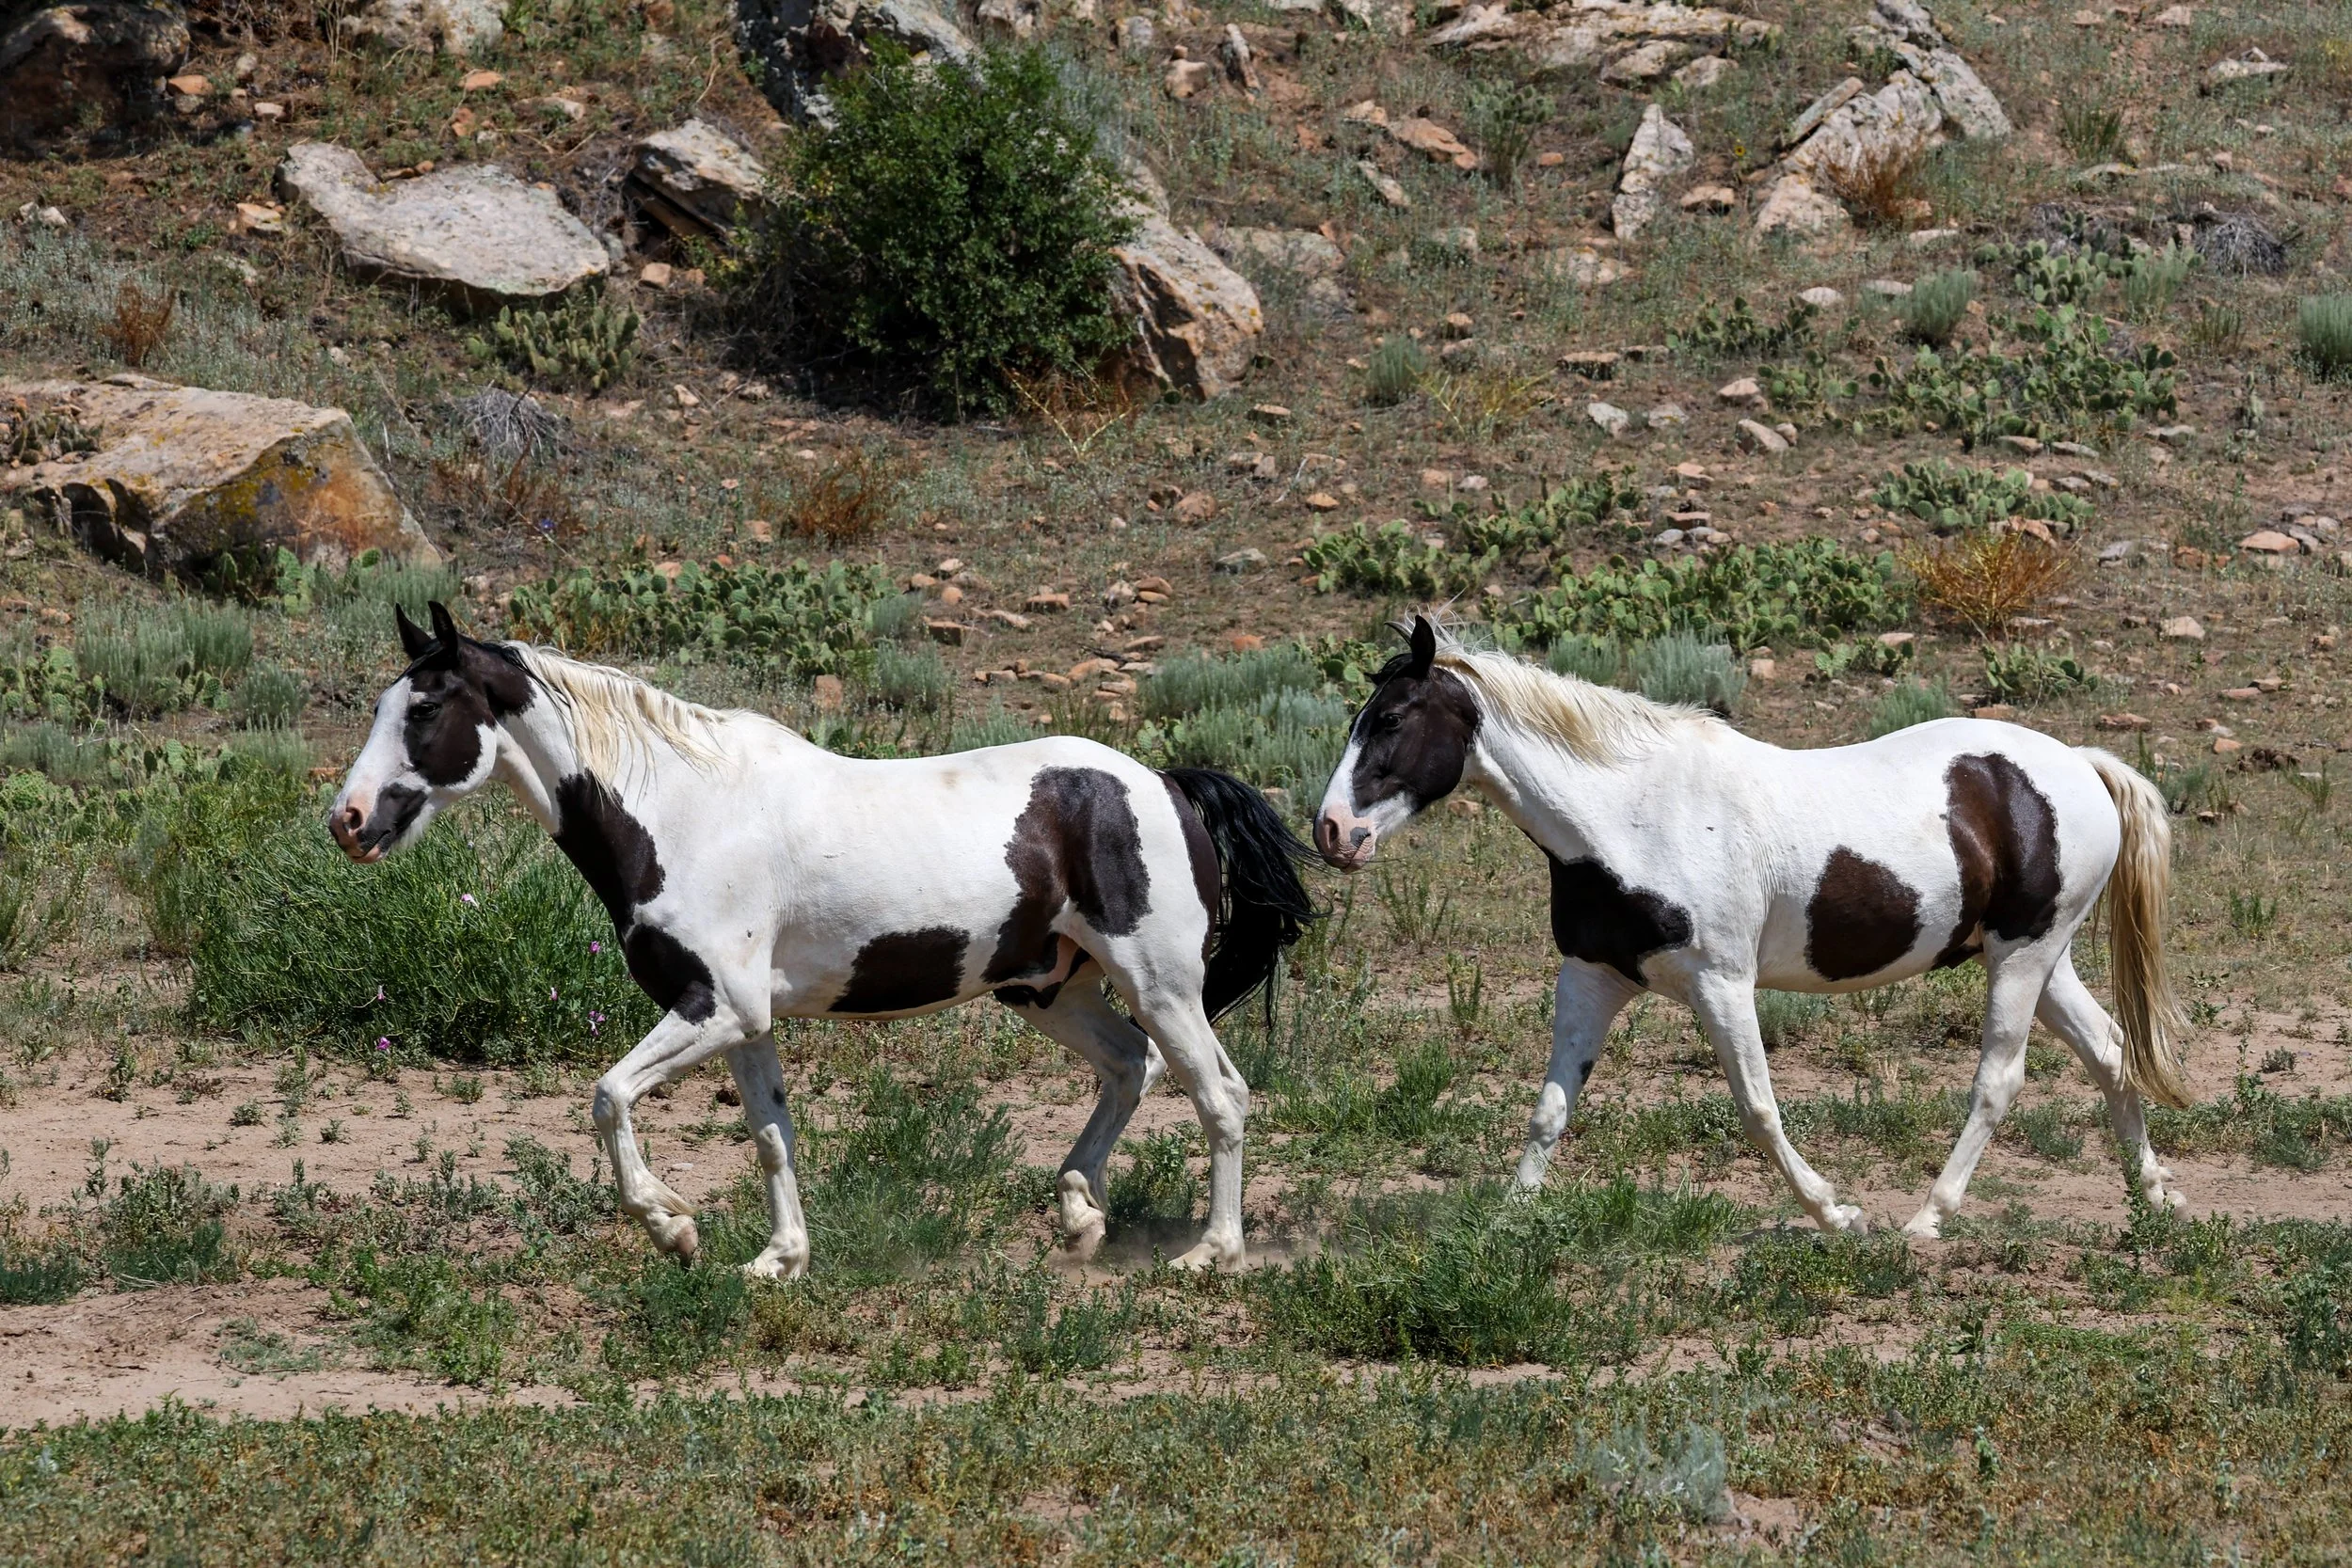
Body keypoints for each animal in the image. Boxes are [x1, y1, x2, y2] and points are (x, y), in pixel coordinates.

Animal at [329, 601, 1316, 1275]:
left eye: (424, 709)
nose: (347, 820)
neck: (681, 812)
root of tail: (1166, 785)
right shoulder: (745, 1023)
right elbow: (771, 1133)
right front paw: (779, 1260)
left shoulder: (715, 1007)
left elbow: (608, 1095)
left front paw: (672, 1224)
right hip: (1047, 988)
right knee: (1127, 1066)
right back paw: (1080, 1213)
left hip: (1160, 984)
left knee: (1220, 1093)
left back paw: (1212, 1252)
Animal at [1314, 616, 2192, 1238]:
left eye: (1390, 719)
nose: (1332, 832)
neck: (1632, 814)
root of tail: (2079, 765)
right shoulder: (1591, 978)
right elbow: (1551, 1107)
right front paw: (1502, 1223)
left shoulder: (1722, 984)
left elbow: (1759, 1108)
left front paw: (1838, 1212)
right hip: (2041, 959)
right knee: (2113, 1050)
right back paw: (2153, 1198)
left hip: (2023, 958)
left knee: (2000, 1080)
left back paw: (1926, 1220)